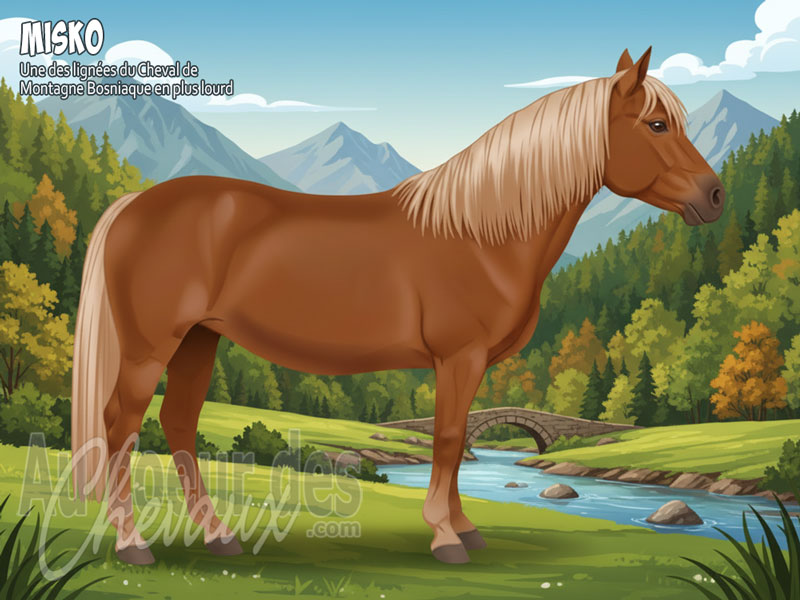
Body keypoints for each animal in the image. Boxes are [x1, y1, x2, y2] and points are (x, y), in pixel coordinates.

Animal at [71, 47, 724, 565]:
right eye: (657, 124)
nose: (714, 195)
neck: (482, 233)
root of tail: (134, 204)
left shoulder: (468, 363)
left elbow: (455, 446)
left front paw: (464, 527)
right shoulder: (458, 356)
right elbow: (449, 439)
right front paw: (448, 538)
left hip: (198, 340)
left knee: (178, 425)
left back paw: (219, 536)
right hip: (150, 347)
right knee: (121, 427)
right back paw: (133, 544)